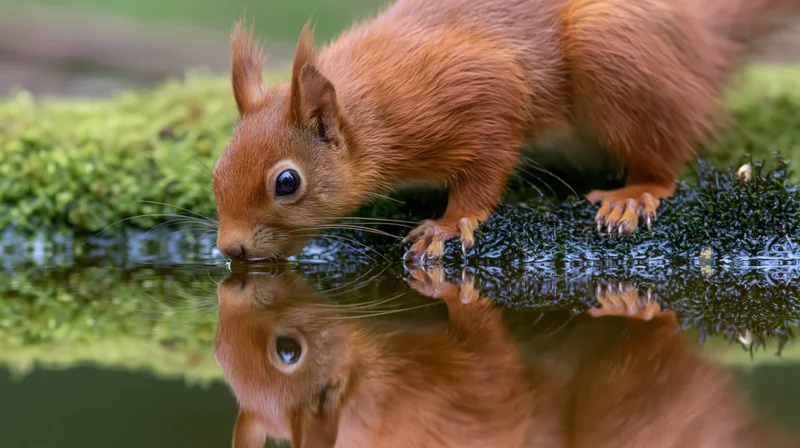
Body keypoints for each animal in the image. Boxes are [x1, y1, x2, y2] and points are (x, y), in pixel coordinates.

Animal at [212, 0, 800, 261]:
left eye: (287, 183)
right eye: (216, 170)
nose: (231, 249)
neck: (369, 109)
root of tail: (704, 42)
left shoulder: (479, 92)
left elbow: (487, 164)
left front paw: (450, 224)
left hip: (614, 50)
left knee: (663, 158)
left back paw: (634, 194)